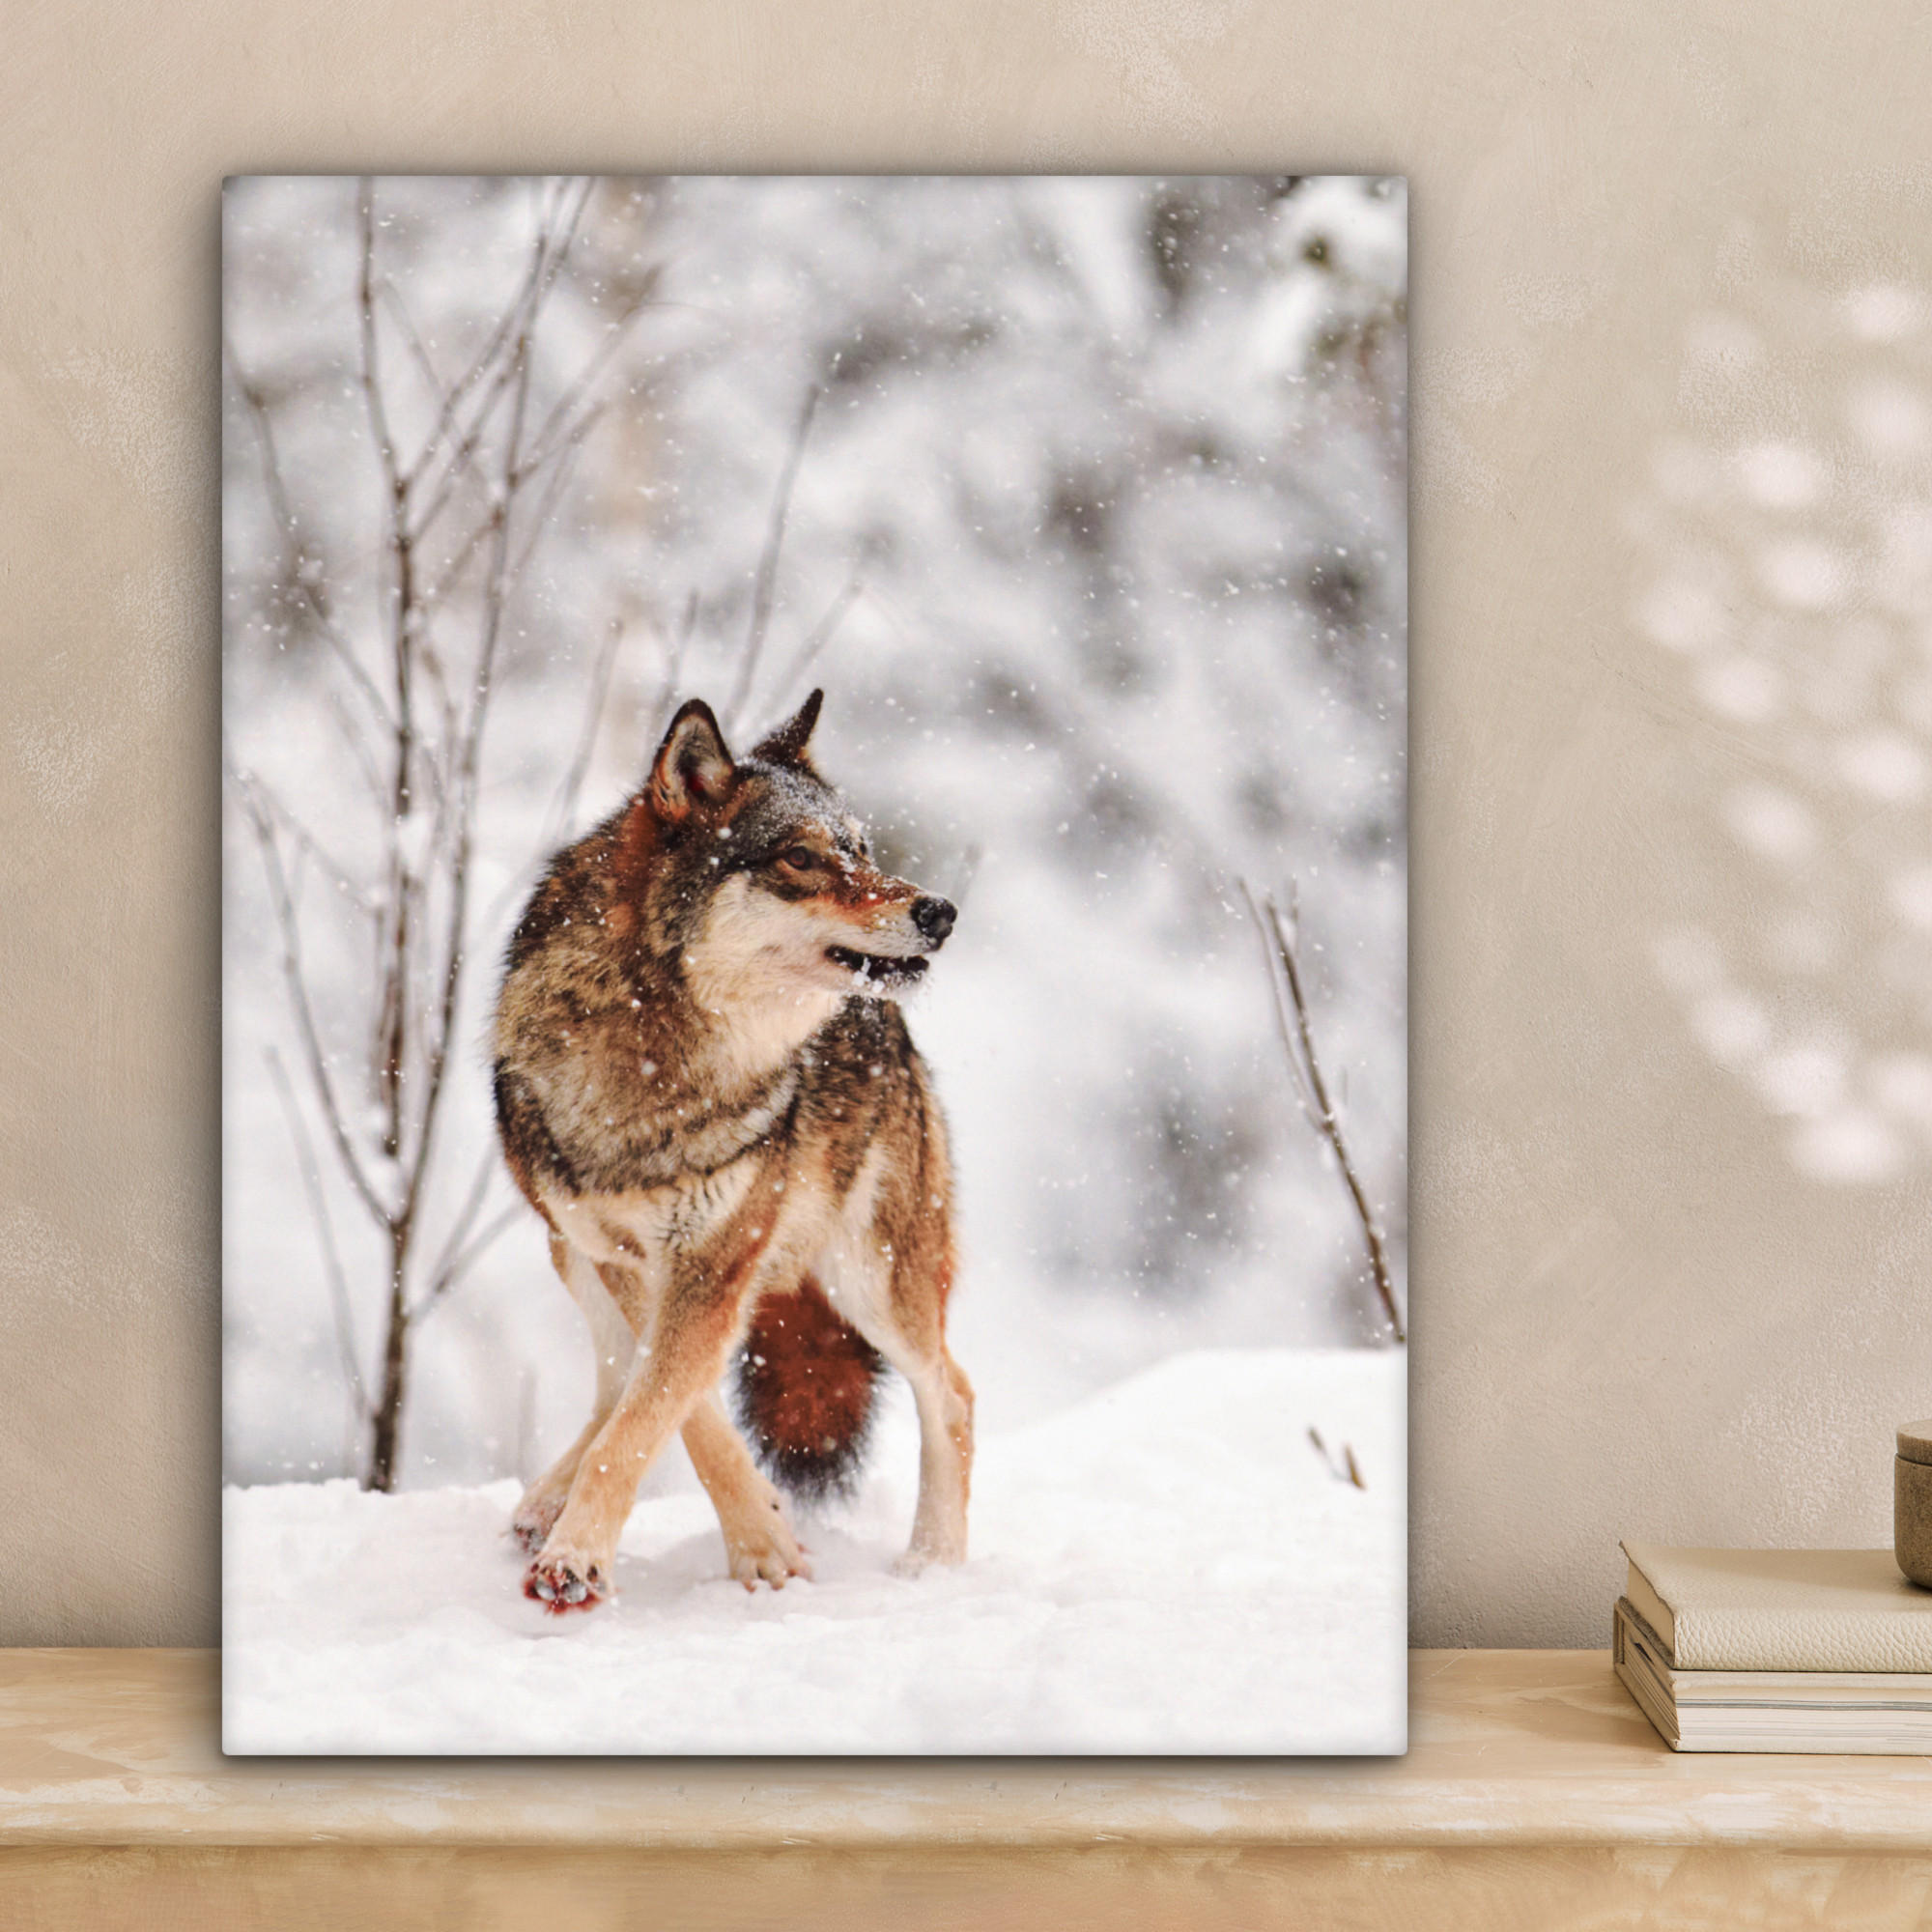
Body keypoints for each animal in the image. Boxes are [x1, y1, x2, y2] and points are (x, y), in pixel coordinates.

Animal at [491, 689, 972, 1612]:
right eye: (801, 858)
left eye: (862, 849)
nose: (939, 911)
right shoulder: (628, 1256)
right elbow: (672, 1411)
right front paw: (763, 1538)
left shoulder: (713, 1260)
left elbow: (652, 1414)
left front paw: (584, 1559)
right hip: (569, 1253)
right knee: (612, 1378)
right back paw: (543, 1502)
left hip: (871, 1279)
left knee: (954, 1395)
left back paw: (934, 1565)